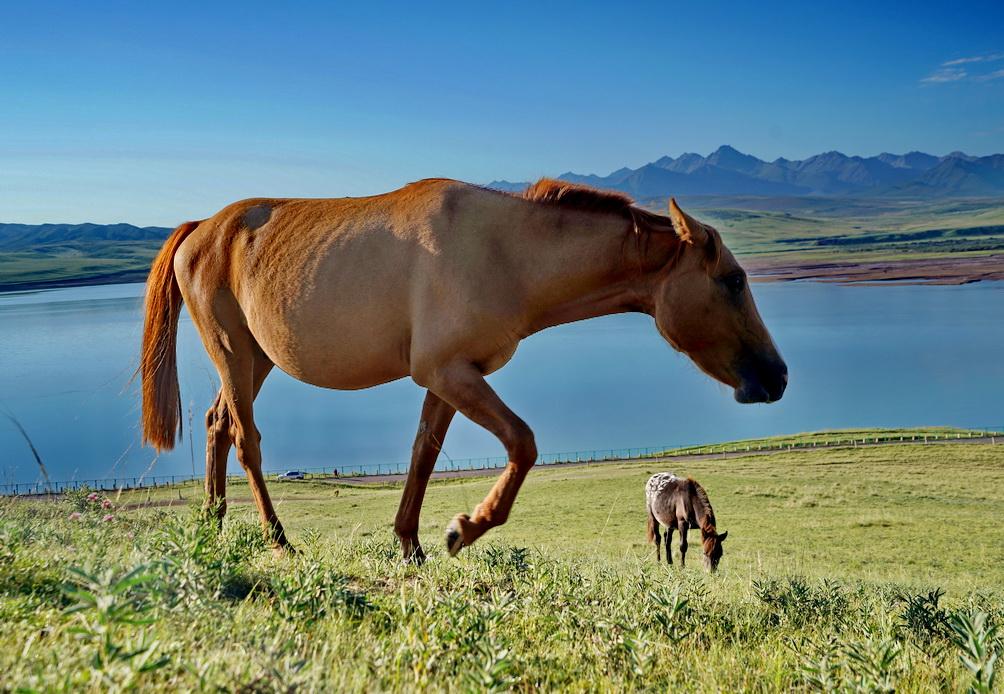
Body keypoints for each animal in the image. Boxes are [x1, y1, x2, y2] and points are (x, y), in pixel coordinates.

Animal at [139, 177, 783, 558]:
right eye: (733, 280)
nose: (776, 377)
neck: (506, 251)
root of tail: (201, 228)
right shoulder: (449, 373)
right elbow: (522, 443)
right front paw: (463, 529)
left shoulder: (449, 377)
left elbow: (423, 455)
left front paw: (411, 544)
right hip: (232, 350)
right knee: (246, 438)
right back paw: (278, 540)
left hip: (256, 359)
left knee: (219, 425)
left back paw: (213, 523)